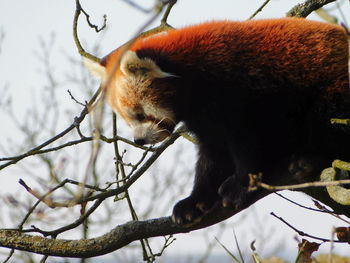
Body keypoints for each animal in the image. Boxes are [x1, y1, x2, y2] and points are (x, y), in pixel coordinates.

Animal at [85, 18, 350, 225]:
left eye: (140, 115)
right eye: (127, 119)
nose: (138, 140)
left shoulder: (244, 93)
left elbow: (249, 143)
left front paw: (241, 185)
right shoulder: (206, 120)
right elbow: (213, 156)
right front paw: (195, 201)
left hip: (336, 90)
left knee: (327, 119)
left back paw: (310, 159)